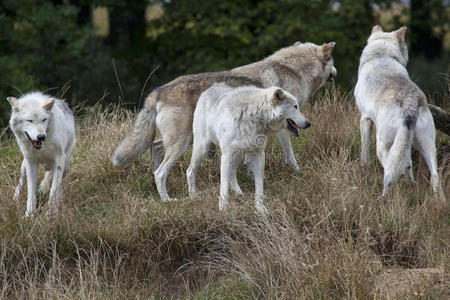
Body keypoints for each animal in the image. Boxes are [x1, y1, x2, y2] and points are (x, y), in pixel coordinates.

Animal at [185, 83, 310, 212]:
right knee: (190, 171)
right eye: (295, 106)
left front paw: (260, 208)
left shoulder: (259, 154)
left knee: (232, 173)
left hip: (238, 155)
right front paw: (223, 209)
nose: (308, 123)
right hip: (203, 149)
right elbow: (224, 188)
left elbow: (259, 187)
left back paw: (239, 193)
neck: (254, 115)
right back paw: (193, 196)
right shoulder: (226, 155)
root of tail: (210, 88)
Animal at [356, 24, 446, 200]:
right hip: (425, 144)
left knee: (391, 172)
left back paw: (385, 197)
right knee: (433, 176)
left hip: (383, 146)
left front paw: (364, 168)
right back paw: (438, 201)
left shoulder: (365, 119)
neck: (381, 56)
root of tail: (410, 103)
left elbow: (364, 151)